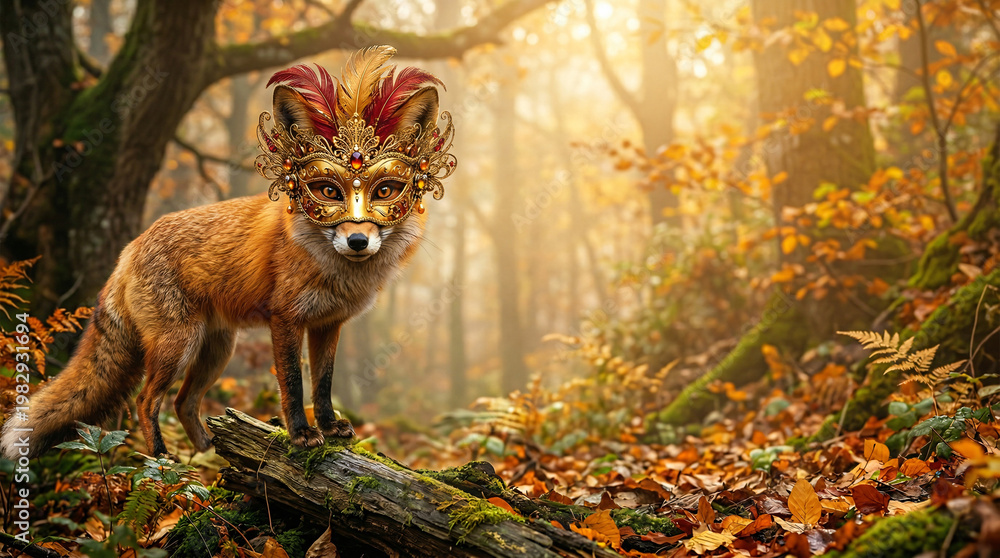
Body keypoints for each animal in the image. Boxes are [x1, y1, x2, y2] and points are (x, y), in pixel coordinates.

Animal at [1, 46, 456, 459]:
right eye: (327, 191)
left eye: (385, 191)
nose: (358, 241)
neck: (333, 272)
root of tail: (129, 248)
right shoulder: (286, 320)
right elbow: (293, 385)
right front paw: (301, 434)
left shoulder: (328, 324)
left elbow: (324, 385)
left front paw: (329, 427)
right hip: (178, 345)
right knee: (146, 401)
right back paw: (163, 461)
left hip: (217, 350)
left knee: (183, 401)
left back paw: (210, 450)